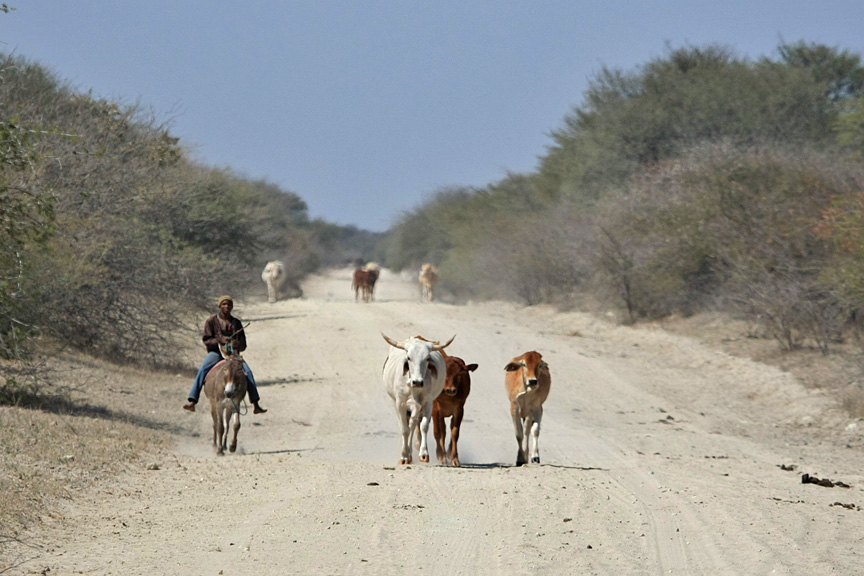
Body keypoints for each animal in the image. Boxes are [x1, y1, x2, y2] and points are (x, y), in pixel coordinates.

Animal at [382, 332, 456, 464]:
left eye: (427, 358)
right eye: (409, 358)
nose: (417, 382)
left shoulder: (428, 403)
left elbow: (423, 426)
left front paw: (424, 454)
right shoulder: (400, 404)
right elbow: (404, 429)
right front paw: (404, 456)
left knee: (413, 425)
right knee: (407, 426)